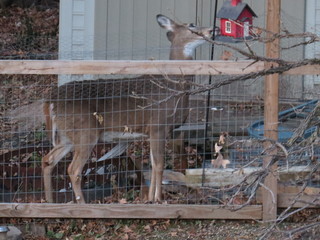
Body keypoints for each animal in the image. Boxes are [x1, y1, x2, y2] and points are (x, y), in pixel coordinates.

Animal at [42, 14, 212, 203]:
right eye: (192, 24)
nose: (212, 30)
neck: (174, 88)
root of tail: (51, 100)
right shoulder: (158, 125)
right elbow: (159, 164)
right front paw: (158, 199)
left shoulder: (151, 131)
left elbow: (152, 164)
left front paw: (149, 198)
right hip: (85, 131)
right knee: (73, 169)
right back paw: (81, 203)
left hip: (66, 135)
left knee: (47, 160)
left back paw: (50, 201)